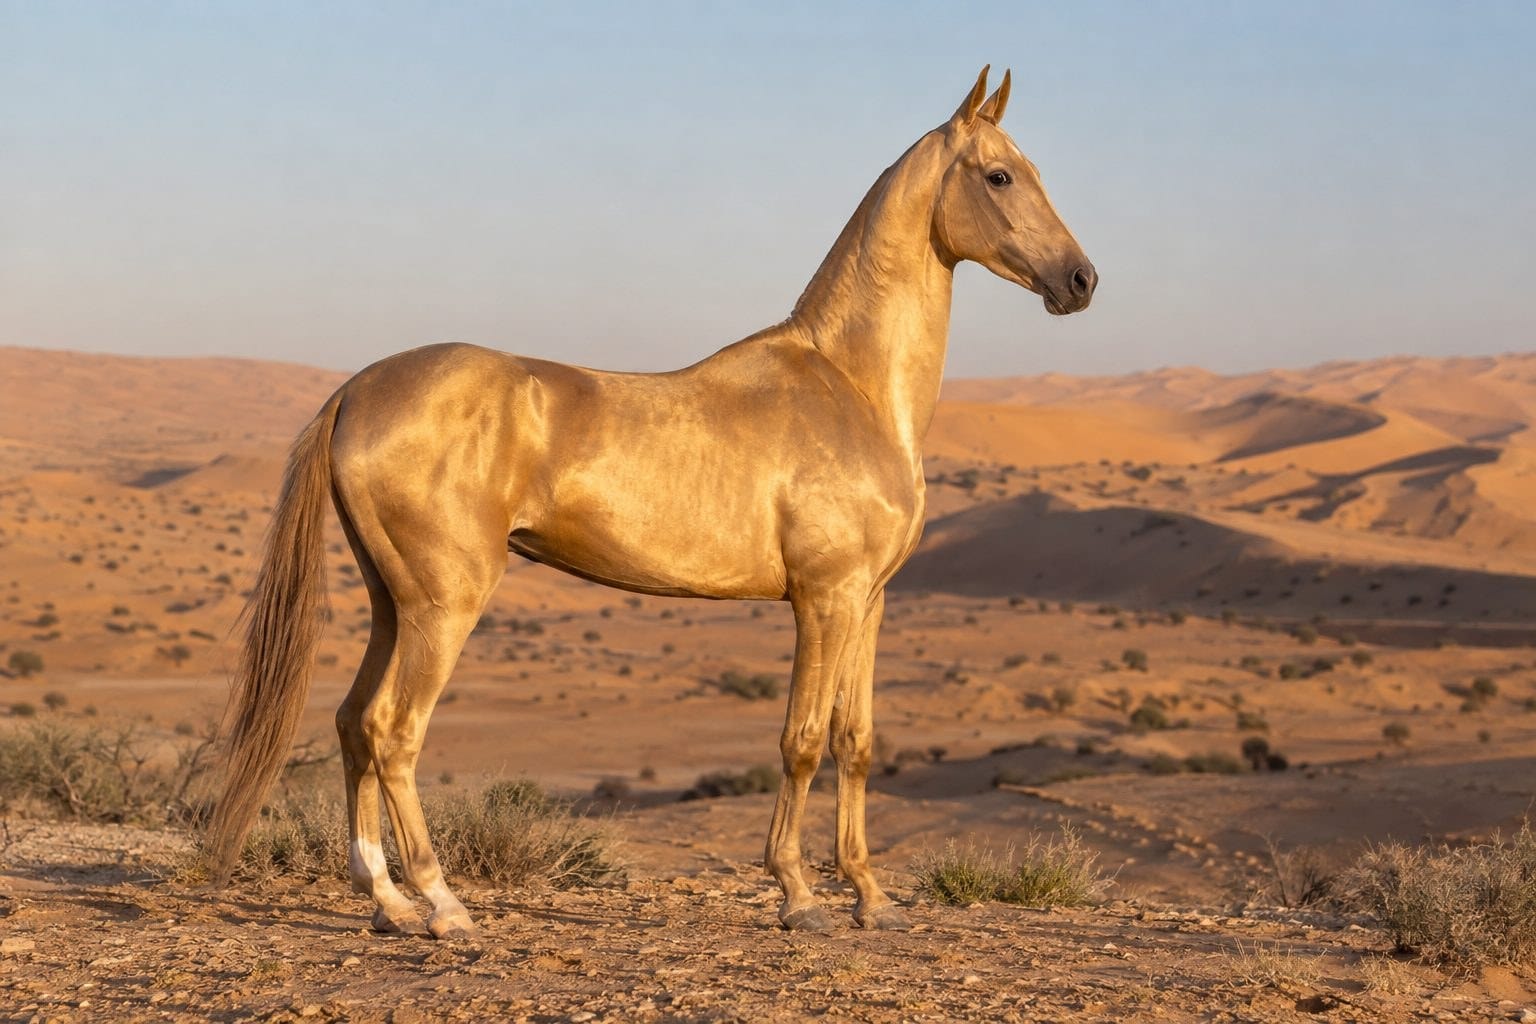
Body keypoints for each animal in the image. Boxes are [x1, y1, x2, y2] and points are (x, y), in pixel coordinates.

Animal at [207, 65, 1096, 938]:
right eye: (999, 175)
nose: (1080, 281)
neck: (850, 385)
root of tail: (357, 390)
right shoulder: (823, 599)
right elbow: (804, 739)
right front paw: (799, 896)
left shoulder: (868, 601)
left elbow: (857, 739)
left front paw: (872, 899)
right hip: (444, 606)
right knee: (393, 732)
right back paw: (444, 905)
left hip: (392, 603)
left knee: (353, 724)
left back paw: (388, 903)